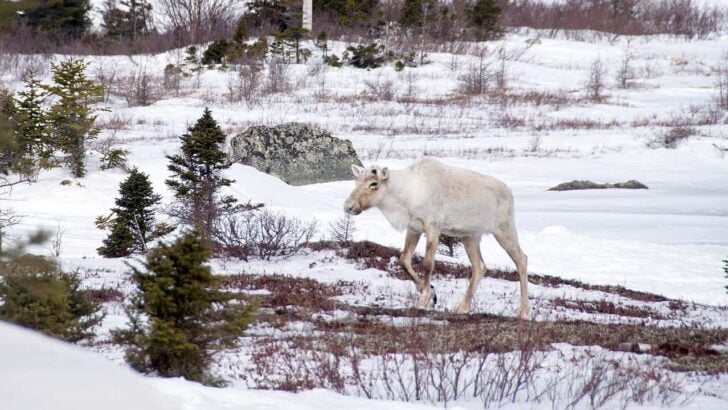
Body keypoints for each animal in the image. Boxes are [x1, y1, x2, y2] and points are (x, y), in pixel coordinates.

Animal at [344, 158, 530, 320]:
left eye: (373, 183)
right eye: (356, 182)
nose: (348, 206)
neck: (406, 196)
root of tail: (510, 193)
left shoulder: (433, 226)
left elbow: (428, 264)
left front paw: (423, 301)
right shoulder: (413, 228)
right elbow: (404, 260)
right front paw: (431, 294)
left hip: (504, 228)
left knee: (521, 259)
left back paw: (524, 312)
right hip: (470, 236)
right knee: (480, 267)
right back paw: (462, 308)